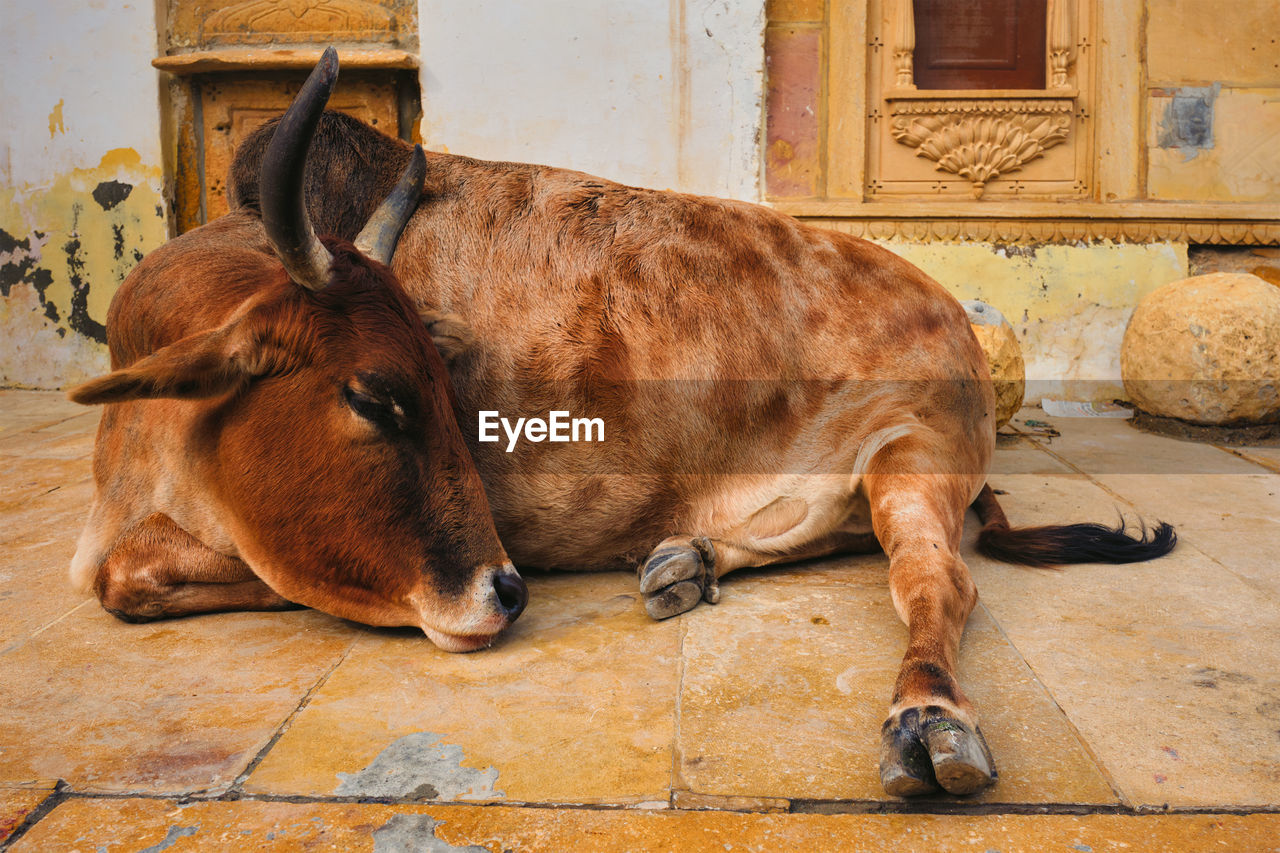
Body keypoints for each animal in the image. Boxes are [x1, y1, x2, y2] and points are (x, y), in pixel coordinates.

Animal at [235, 54, 1172, 799]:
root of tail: (952, 311)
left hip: (915, 449)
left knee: (934, 578)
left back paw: (930, 721)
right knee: (821, 533)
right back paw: (688, 562)